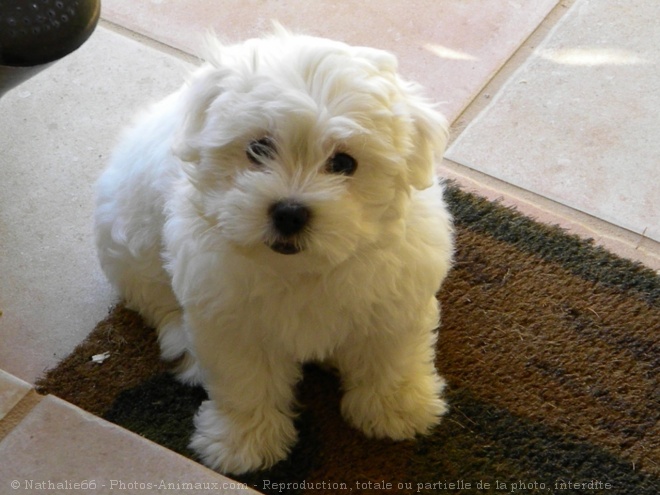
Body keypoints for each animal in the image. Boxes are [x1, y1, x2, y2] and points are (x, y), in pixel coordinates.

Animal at [93, 27, 454, 476]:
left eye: (344, 163)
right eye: (259, 148)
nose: (289, 212)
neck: (302, 268)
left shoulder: (394, 298)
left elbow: (391, 355)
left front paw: (397, 410)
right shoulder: (230, 316)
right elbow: (245, 380)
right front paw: (243, 442)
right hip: (132, 239)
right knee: (157, 299)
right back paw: (184, 347)